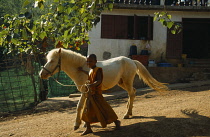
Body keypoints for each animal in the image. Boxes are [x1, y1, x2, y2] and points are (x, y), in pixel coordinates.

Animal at [38, 48, 168, 130]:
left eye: (52, 61)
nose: (41, 74)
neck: (82, 69)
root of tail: (131, 60)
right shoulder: (85, 91)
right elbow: (84, 106)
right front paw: (84, 124)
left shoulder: (84, 90)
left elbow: (79, 106)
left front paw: (77, 124)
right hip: (122, 83)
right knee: (133, 92)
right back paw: (129, 111)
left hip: (127, 81)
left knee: (131, 93)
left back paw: (127, 114)